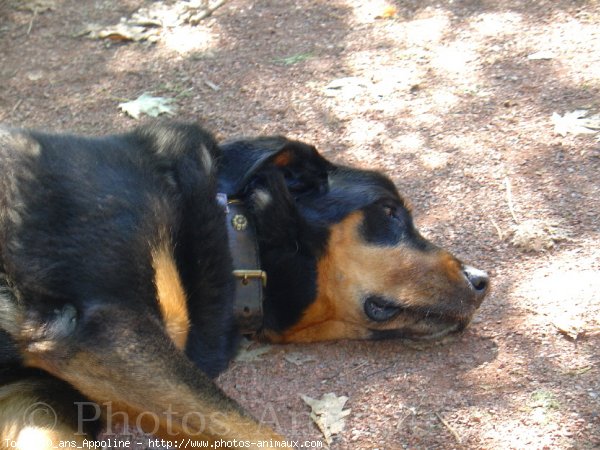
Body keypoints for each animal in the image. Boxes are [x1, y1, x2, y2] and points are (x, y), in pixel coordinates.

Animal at [0, 121, 488, 448]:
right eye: (388, 211)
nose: (483, 280)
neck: (233, 232)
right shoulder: (103, 329)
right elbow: (263, 437)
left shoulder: (36, 402)